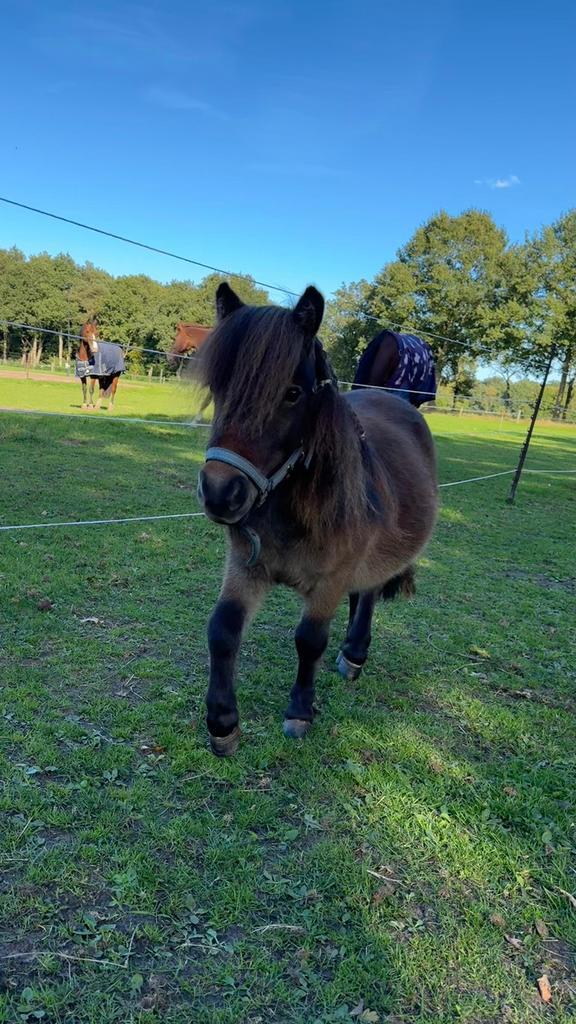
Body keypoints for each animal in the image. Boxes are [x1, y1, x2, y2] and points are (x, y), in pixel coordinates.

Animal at [195, 283, 438, 756]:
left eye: (292, 393)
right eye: (218, 385)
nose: (220, 492)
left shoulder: (331, 579)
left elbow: (308, 641)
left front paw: (300, 711)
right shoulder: (245, 567)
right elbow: (222, 630)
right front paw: (223, 722)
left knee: (370, 592)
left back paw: (355, 652)